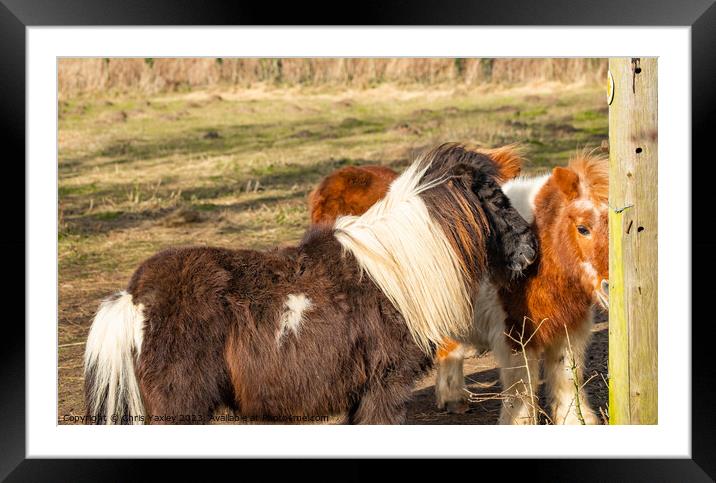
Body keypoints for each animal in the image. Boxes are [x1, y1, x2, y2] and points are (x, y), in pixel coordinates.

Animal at [82, 143, 536, 424]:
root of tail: (133, 297)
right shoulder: (385, 387)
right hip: (179, 404)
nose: (532, 250)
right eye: (496, 198)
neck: (396, 271)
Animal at [310, 150, 608, 424]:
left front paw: (576, 421)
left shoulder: (570, 328)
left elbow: (568, 379)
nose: (608, 286)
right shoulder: (515, 335)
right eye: (583, 228)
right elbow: (520, 389)